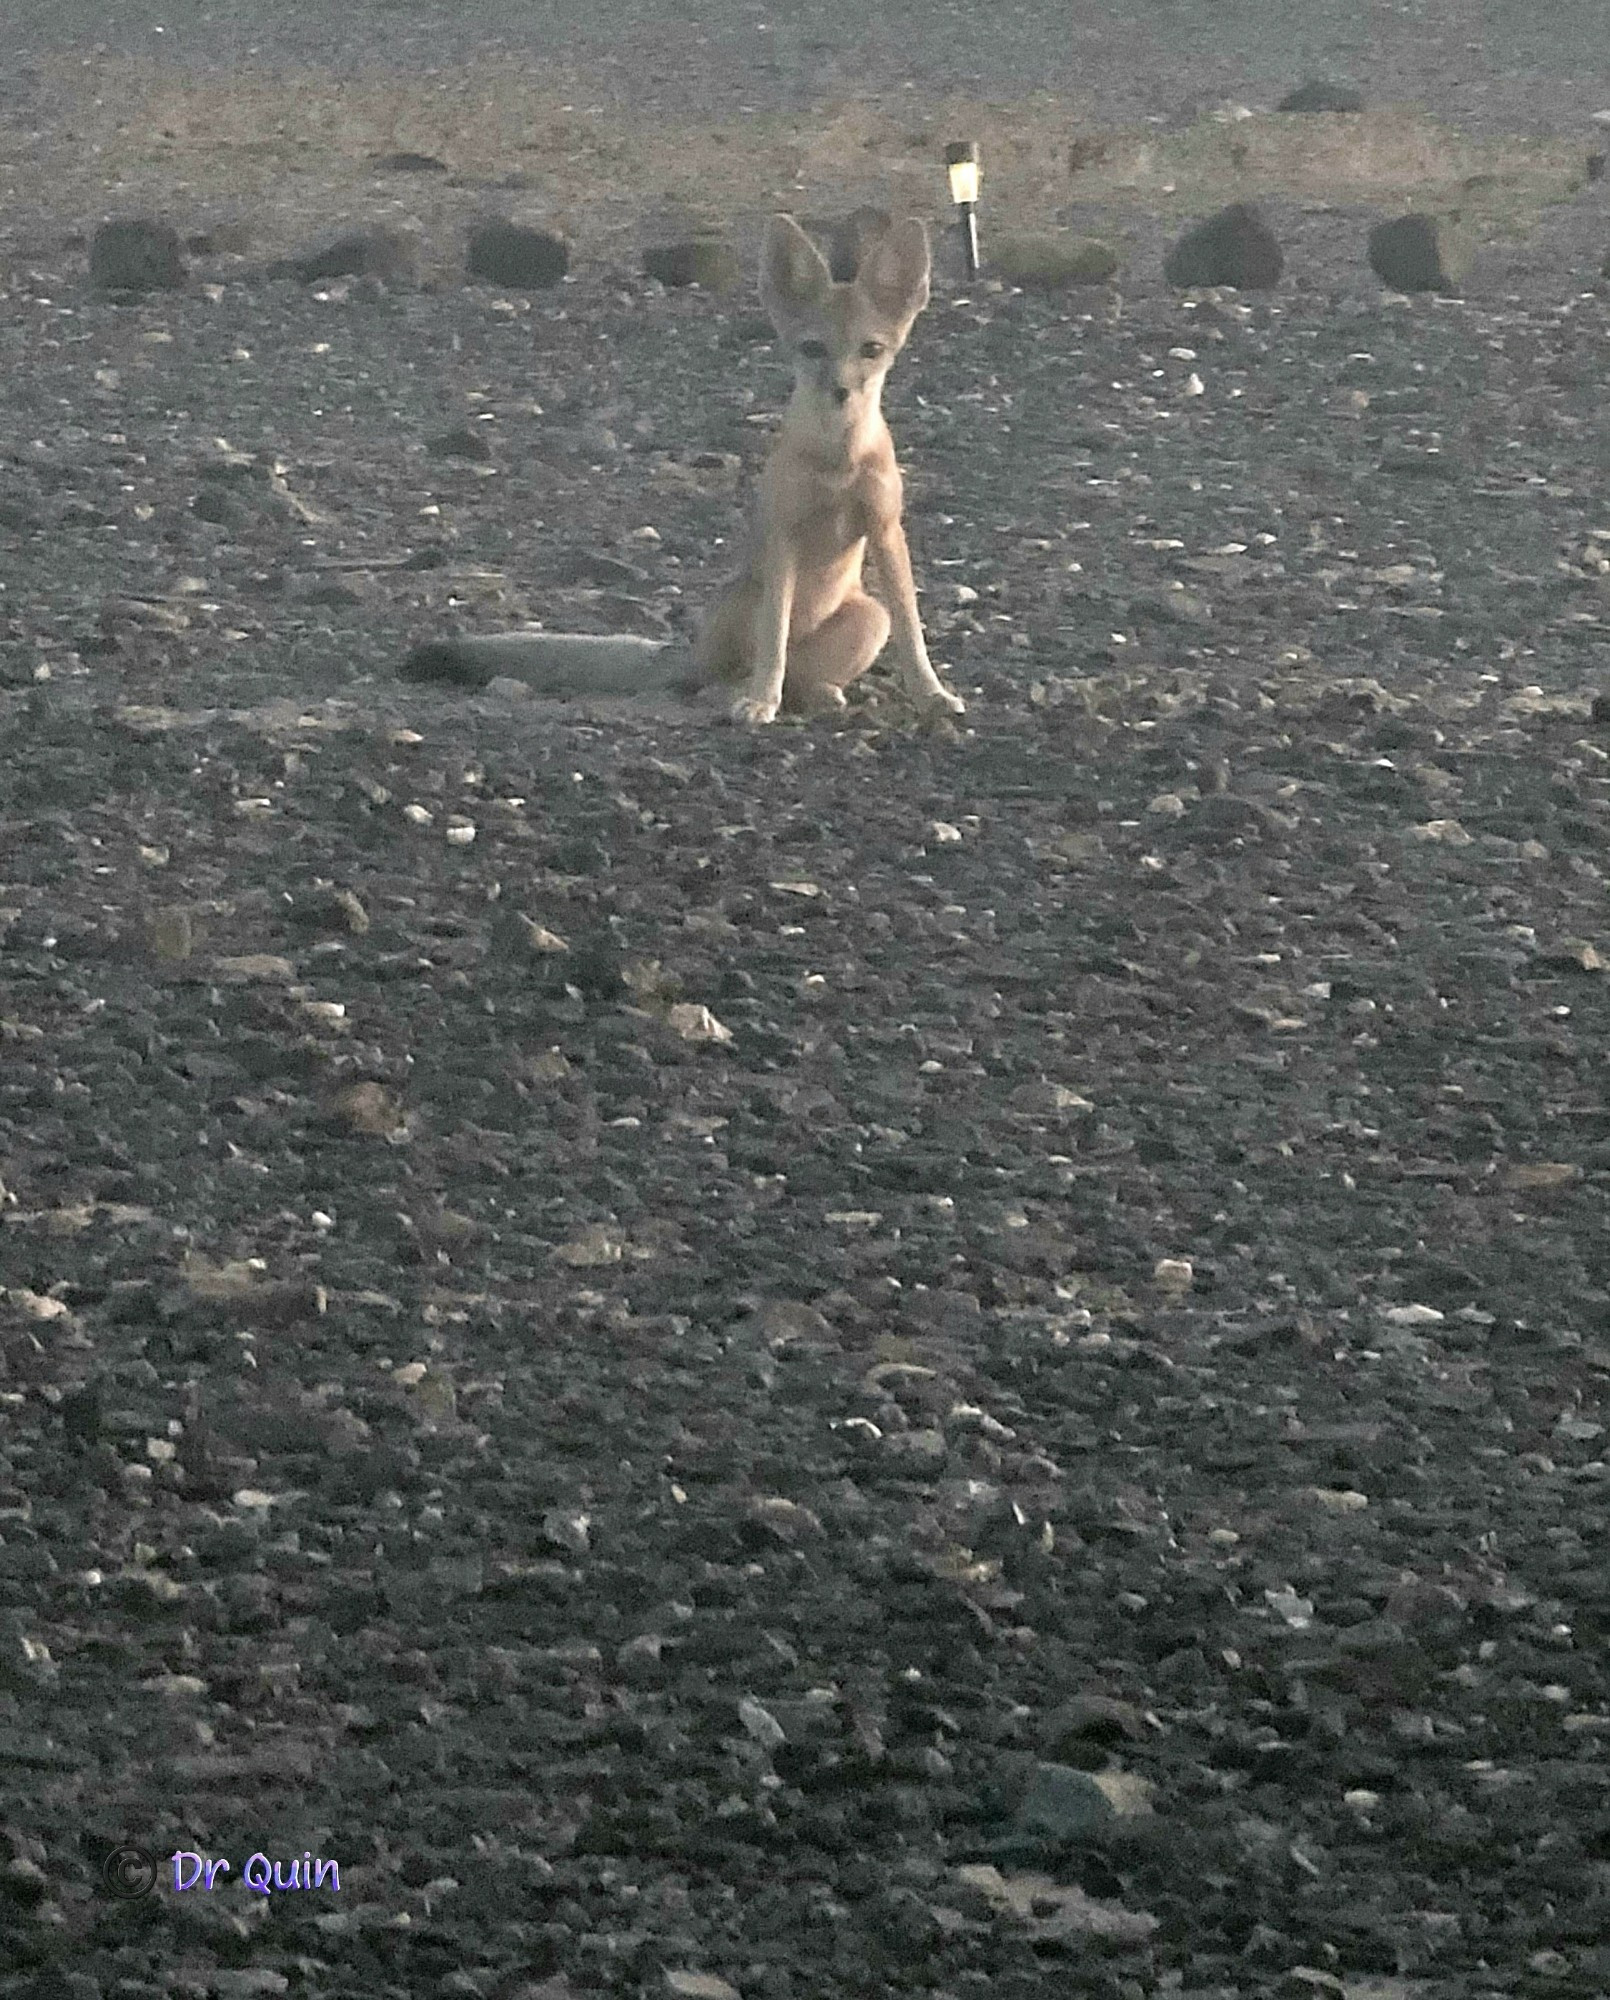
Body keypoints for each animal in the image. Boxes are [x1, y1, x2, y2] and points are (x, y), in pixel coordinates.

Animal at [402, 215, 968, 728]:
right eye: (813, 349)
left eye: (871, 350)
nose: (841, 392)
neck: (839, 460)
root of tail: (685, 649)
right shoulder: (785, 536)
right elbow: (773, 645)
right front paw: (760, 703)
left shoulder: (886, 530)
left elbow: (913, 633)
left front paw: (933, 695)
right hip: (748, 603)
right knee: (736, 675)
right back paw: (746, 695)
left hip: (869, 616)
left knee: (802, 677)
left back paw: (820, 694)